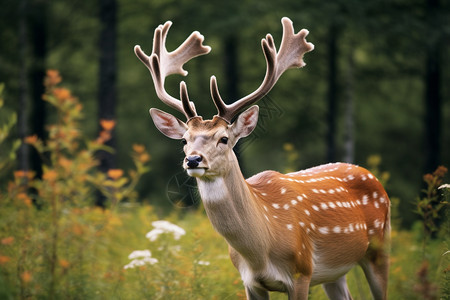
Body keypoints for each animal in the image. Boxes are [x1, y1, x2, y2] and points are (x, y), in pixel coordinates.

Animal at [134, 17, 390, 300]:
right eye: (184, 140)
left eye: (224, 138)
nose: (193, 160)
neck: (261, 248)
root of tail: (372, 176)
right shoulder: (250, 282)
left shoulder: (301, 272)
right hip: (334, 272)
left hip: (379, 248)